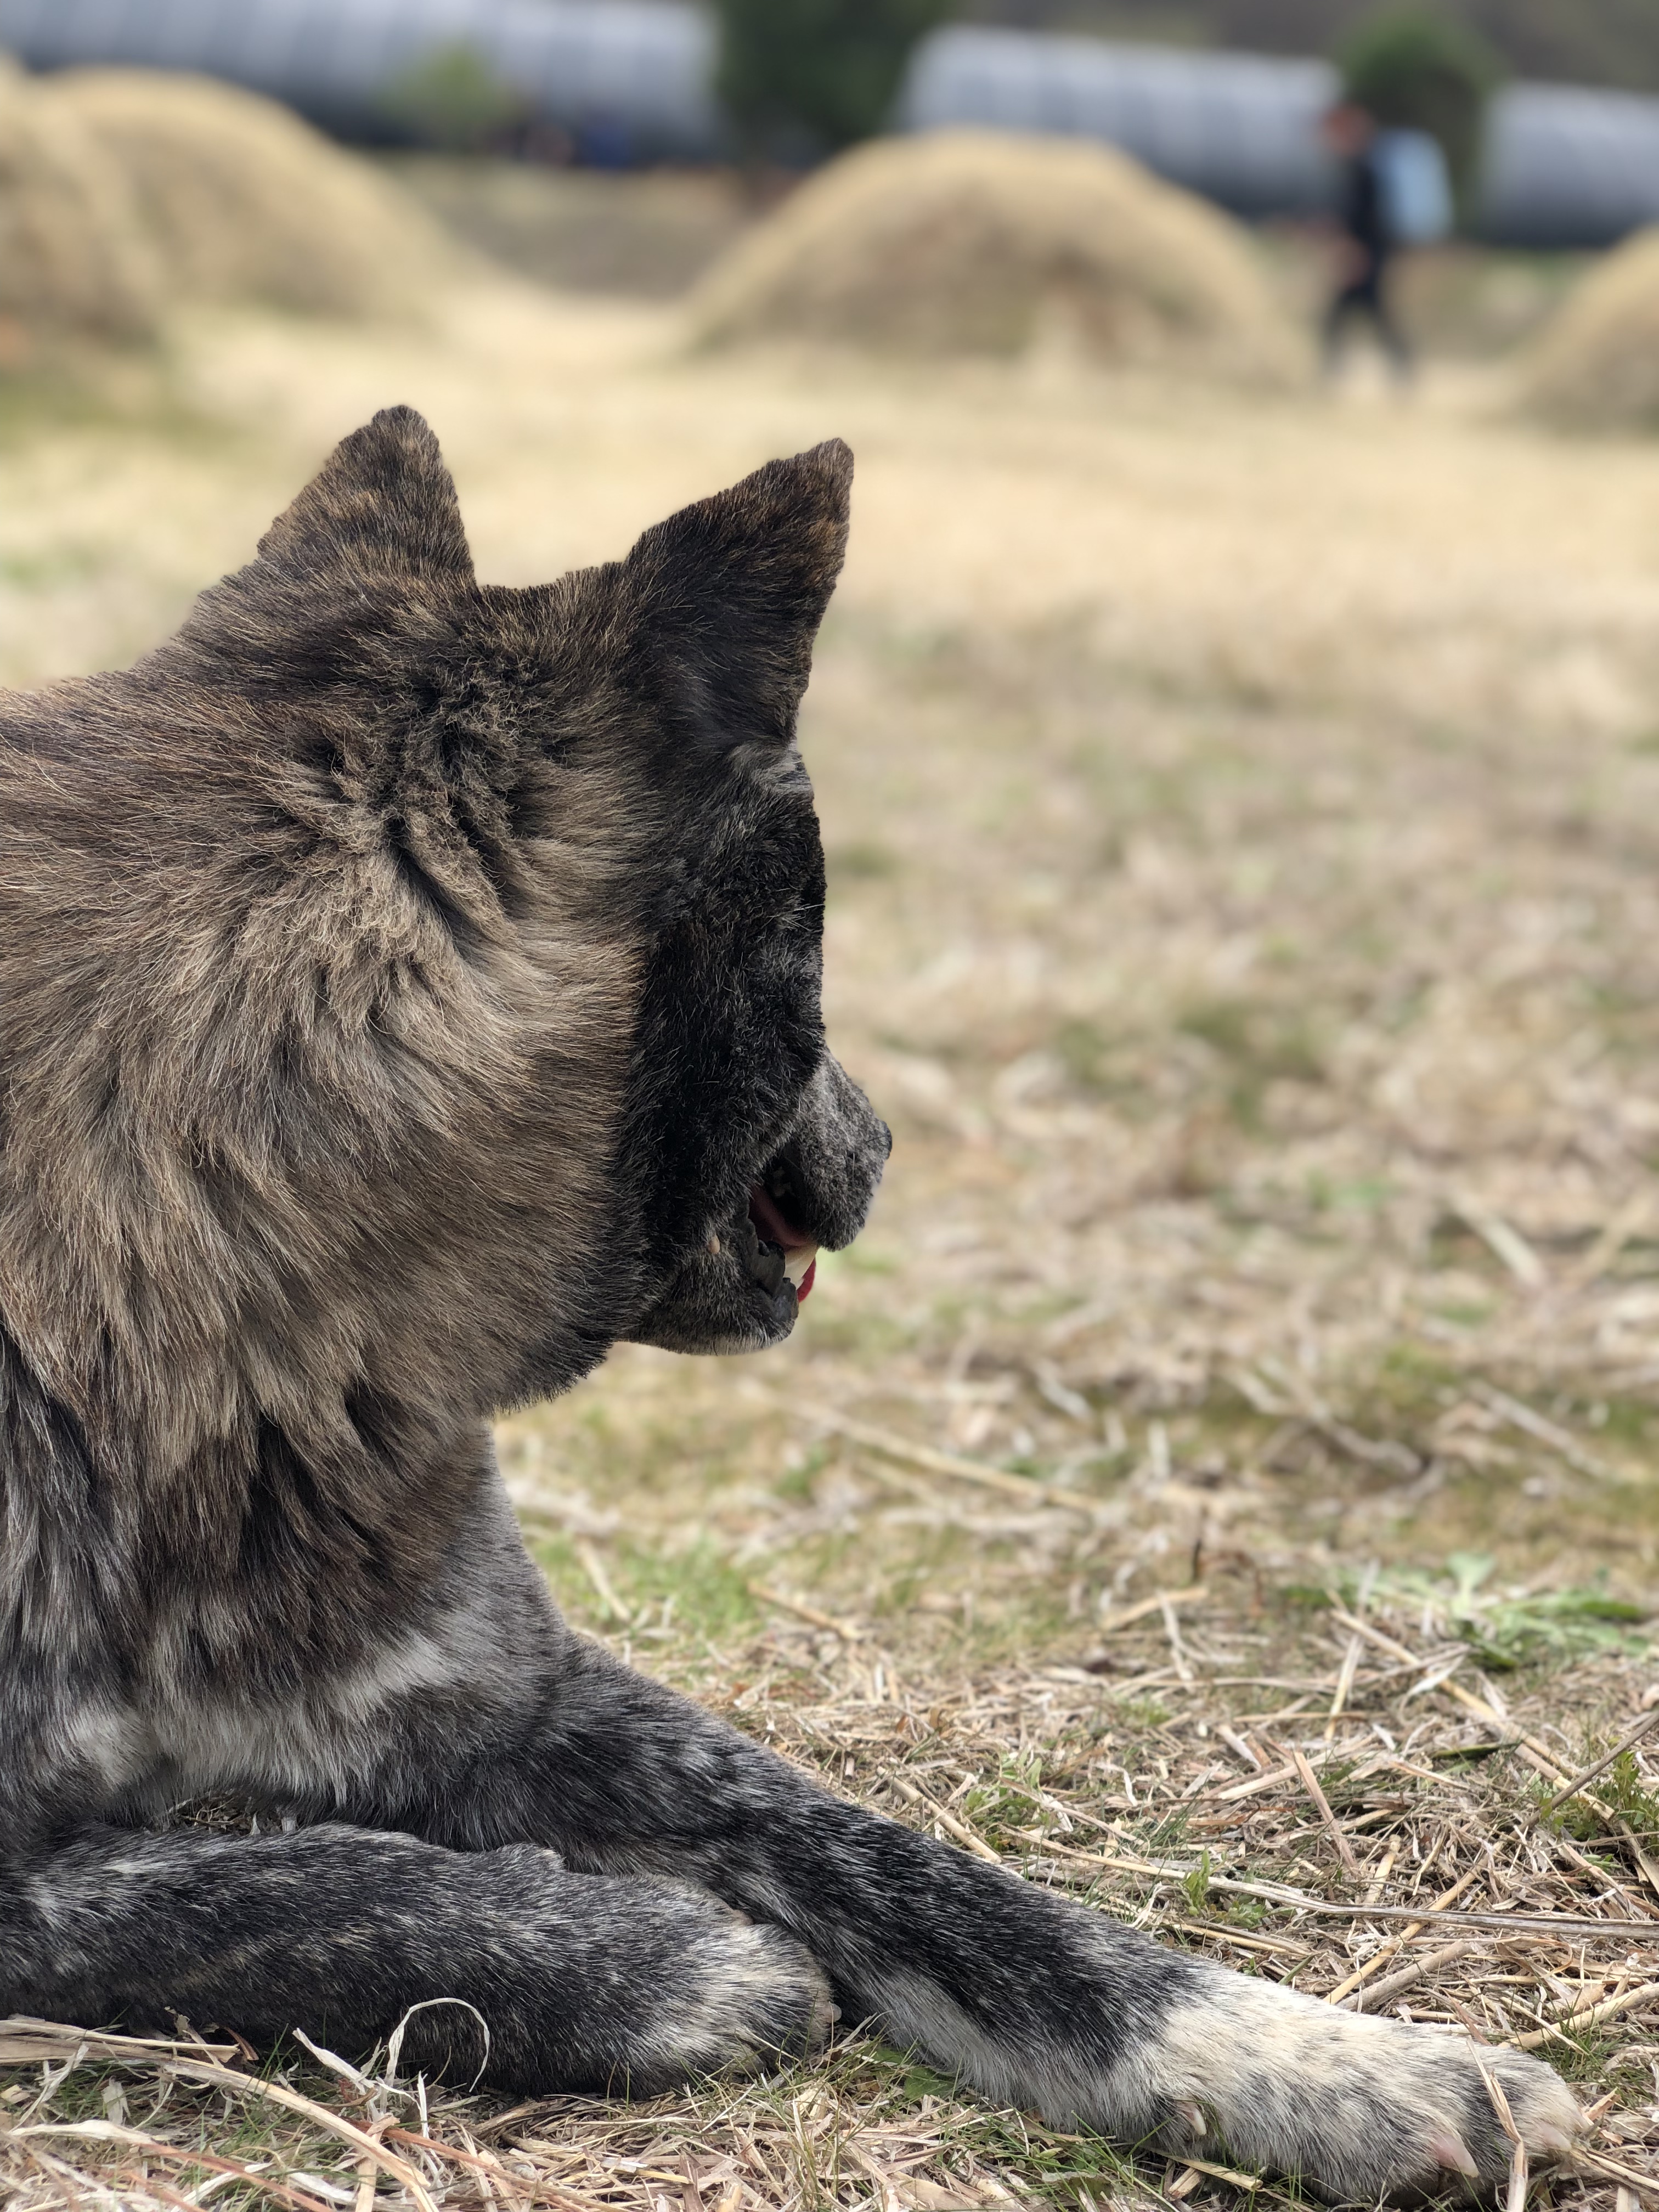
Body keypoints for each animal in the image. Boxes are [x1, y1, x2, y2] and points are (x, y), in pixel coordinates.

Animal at [0, 408, 1580, 2196]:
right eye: (819, 939)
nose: (889, 1142)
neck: (212, 1342)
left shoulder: (542, 1706)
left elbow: (941, 1883)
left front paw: (1335, 2060)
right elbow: (244, 1896)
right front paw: (643, 1956)